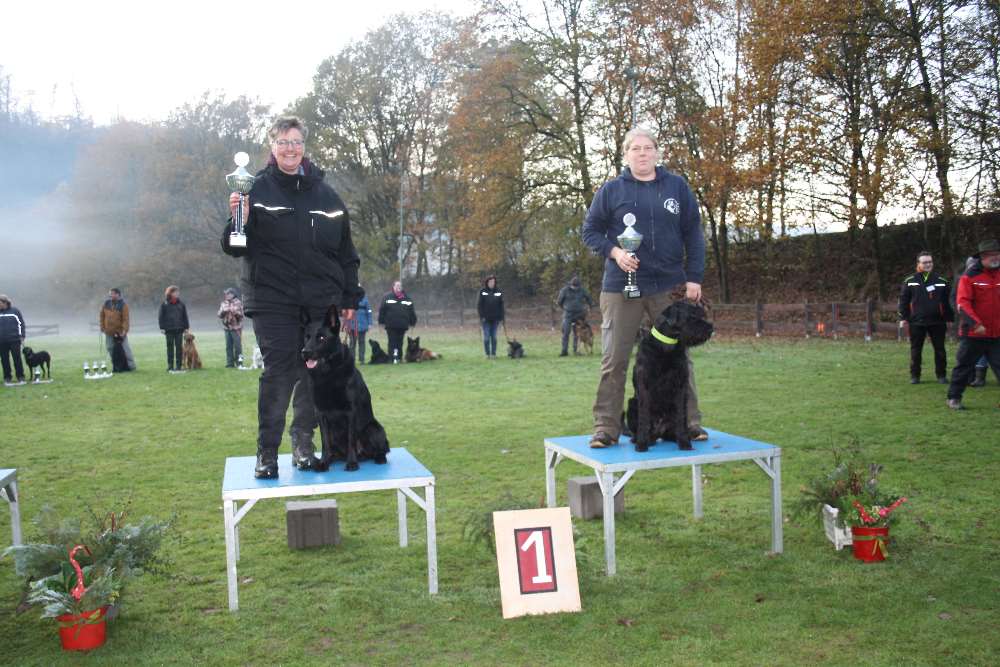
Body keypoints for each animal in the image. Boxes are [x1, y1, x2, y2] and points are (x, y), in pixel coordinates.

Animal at [300, 308, 390, 474]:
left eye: (321, 337)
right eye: (306, 337)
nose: (305, 352)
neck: (328, 373)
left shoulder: (350, 411)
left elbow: (350, 439)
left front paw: (352, 463)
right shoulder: (320, 413)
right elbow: (325, 442)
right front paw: (324, 462)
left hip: (373, 429)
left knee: (382, 449)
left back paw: (378, 458)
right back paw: (327, 460)